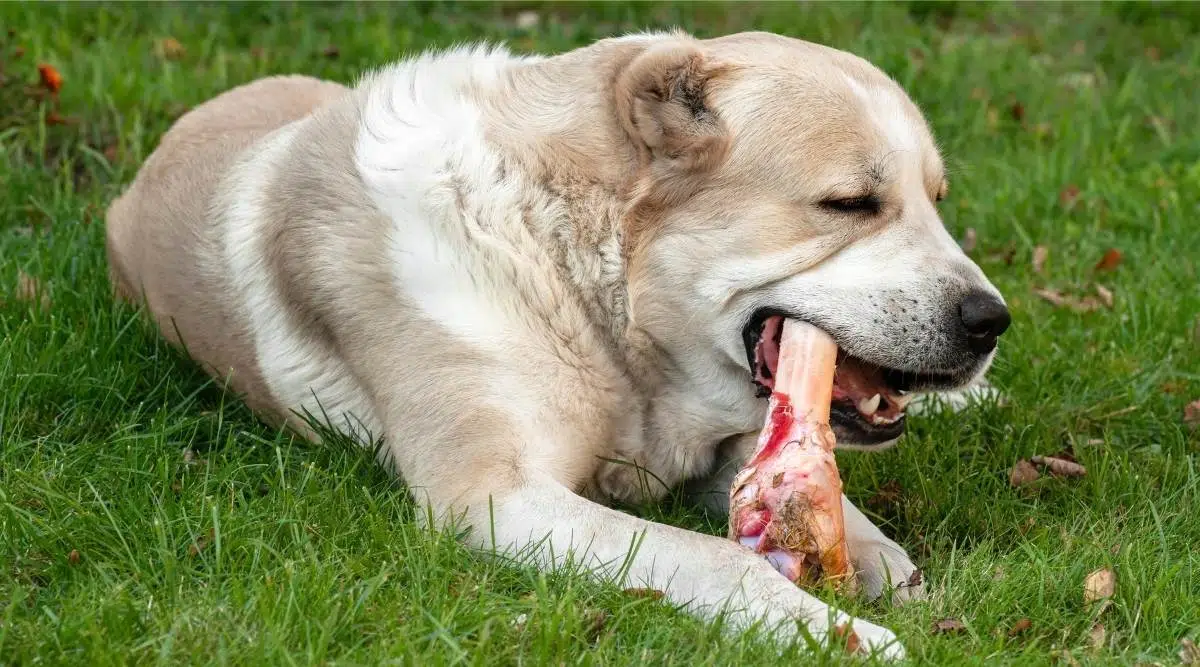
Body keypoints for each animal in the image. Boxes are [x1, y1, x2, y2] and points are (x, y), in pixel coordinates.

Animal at [108, 29, 1012, 657]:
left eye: (934, 200)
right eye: (850, 203)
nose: (991, 322)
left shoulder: (724, 450)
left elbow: (871, 538)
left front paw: (889, 578)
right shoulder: (495, 496)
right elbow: (712, 556)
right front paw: (837, 632)